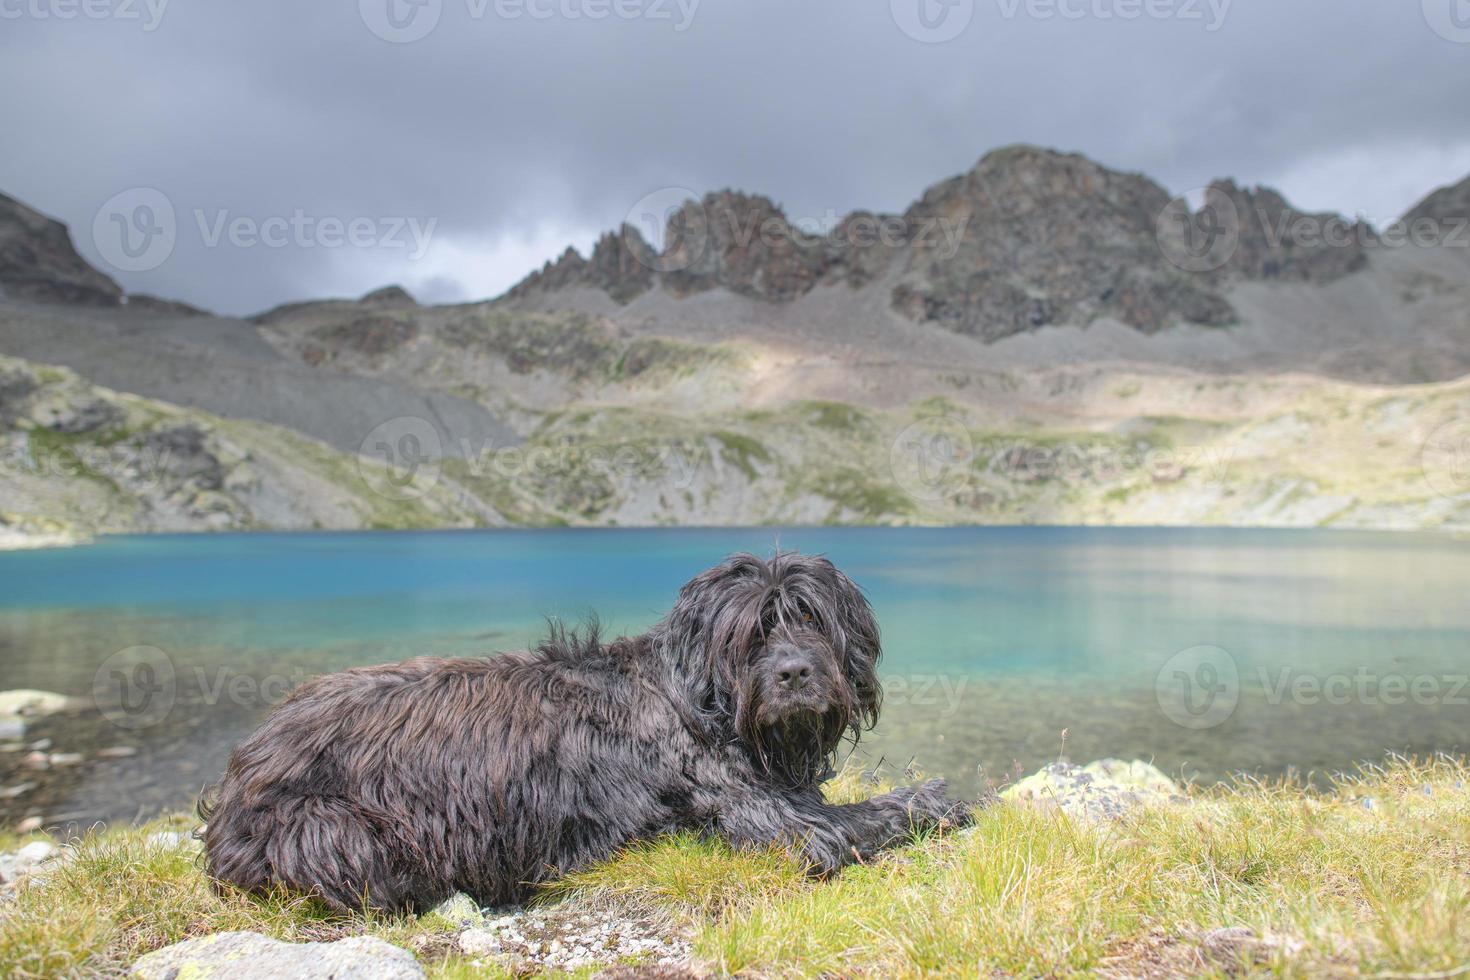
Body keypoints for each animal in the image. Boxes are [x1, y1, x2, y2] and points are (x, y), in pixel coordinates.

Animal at [198, 552, 976, 910]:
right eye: (750, 632)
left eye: (809, 617)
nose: (794, 675)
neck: (697, 700)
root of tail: (240, 770)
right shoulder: (778, 826)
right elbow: (867, 818)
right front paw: (942, 799)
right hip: (333, 830)